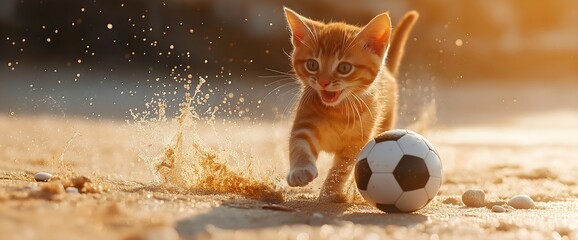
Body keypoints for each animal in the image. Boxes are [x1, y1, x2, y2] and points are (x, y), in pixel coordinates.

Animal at [282, 7, 416, 202]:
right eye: (312, 65)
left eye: (344, 68)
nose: (323, 82)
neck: (337, 110)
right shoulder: (304, 123)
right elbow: (299, 146)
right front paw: (300, 171)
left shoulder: (356, 143)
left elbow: (342, 169)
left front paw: (331, 191)